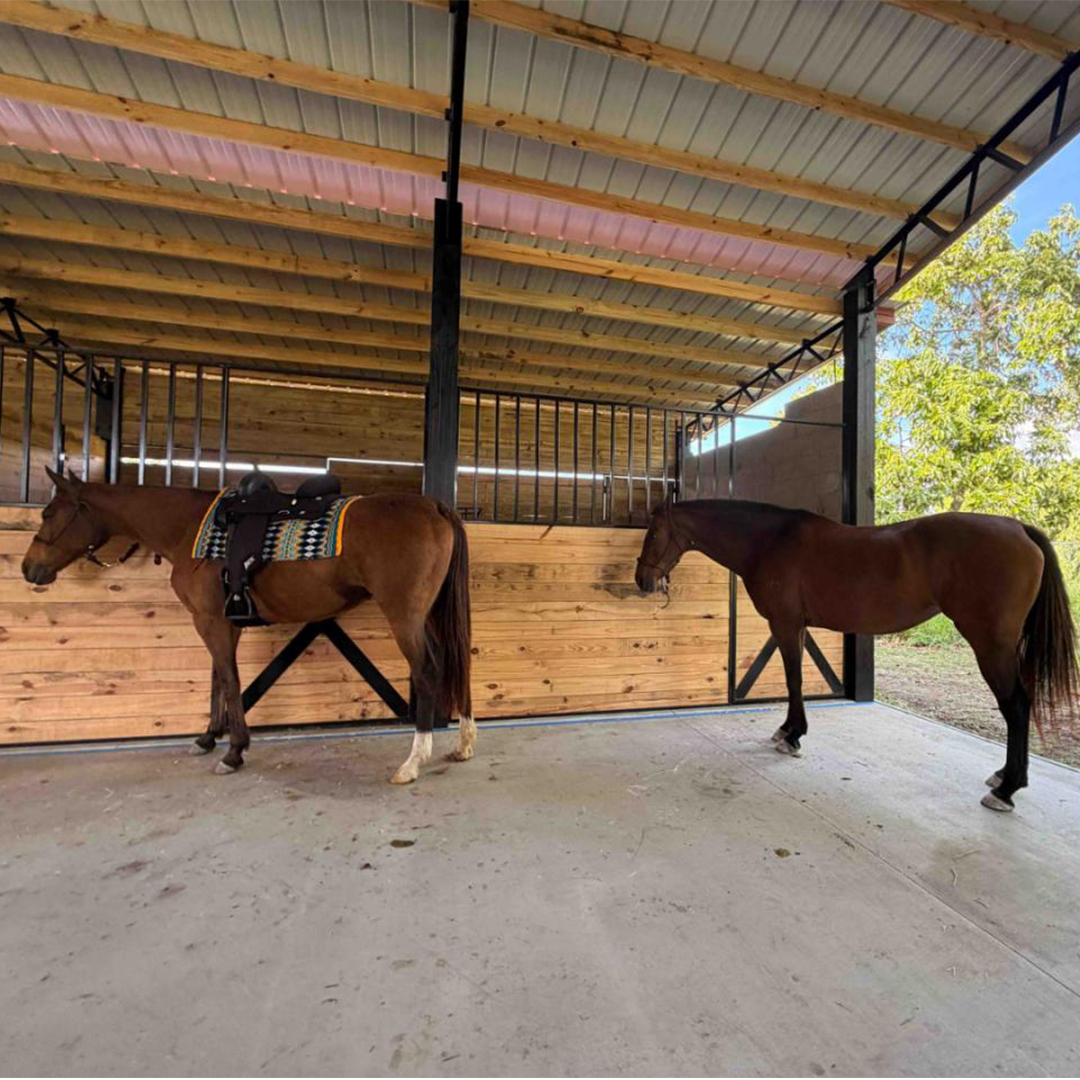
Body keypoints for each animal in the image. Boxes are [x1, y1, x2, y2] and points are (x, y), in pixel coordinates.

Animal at [21, 467, 476, 784]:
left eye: (48, 512)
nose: (29, 569)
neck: (189, 527)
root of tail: (435, 506)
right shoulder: (220, 620)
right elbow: (218, 680)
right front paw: (208, 738)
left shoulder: (210, 621)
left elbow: (228, 677)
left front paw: (233, 751)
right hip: (428, 614)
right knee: (457, 660)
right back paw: (464, 745)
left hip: (404, 615)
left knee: (429, 669)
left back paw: (412, 762)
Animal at [635, 497, 1078, 813]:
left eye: (652, 533)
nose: (641, 579)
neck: (770, 541)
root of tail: (1018, 528)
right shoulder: (797, 627)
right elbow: (794, 679)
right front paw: (788, 729)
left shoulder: (784, 623)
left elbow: (794, 678)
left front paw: (792, 736)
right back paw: (1004, 777)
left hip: (991, 644)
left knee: (1015, 705)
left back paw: (1006, 790)